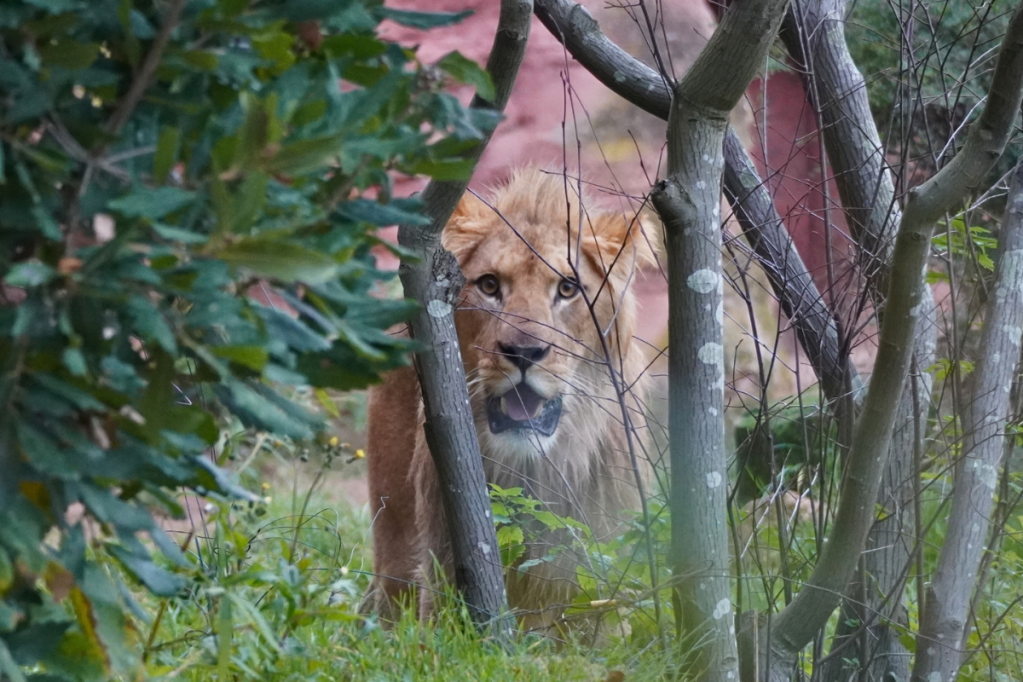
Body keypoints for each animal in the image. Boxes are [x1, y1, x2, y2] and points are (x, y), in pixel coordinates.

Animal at [366, 167, 654, 633]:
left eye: (568, 289)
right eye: (489, 285)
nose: (524, 353)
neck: (530, 472)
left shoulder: (601, 591)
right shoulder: (445, 579)